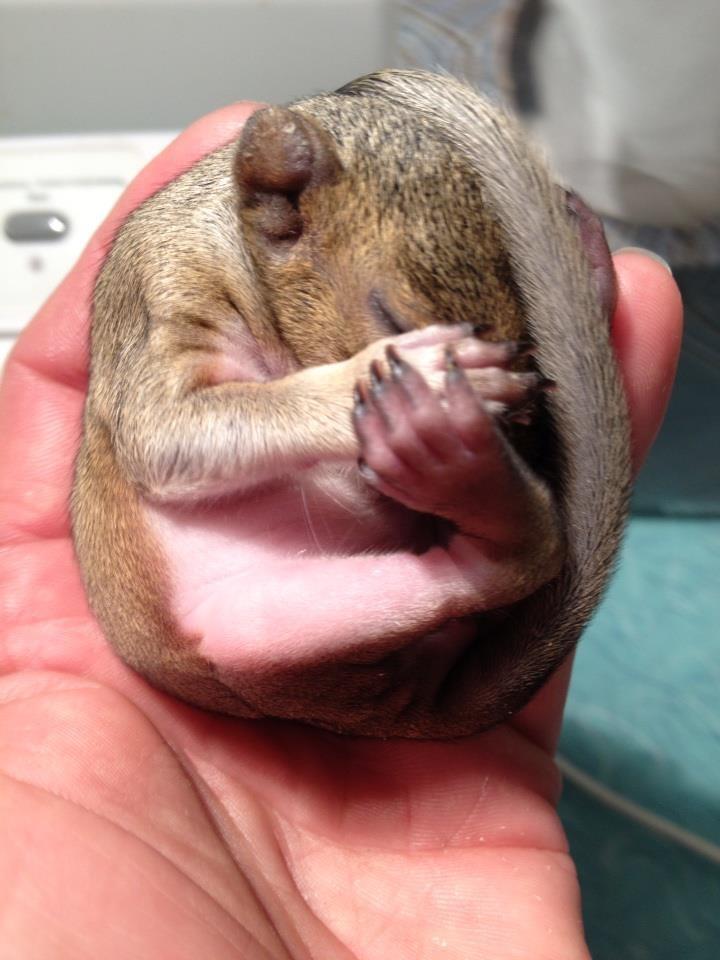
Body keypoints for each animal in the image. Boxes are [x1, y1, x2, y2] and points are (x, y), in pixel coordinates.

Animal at [69, 71, 632, 740]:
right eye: (389, 315)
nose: (523, 433)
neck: (235, 244)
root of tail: (375, 709)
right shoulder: (165, 291)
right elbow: (165, 432)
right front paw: (417, 373)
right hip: (266, 628)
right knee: (515, 557)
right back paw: (445, 441)